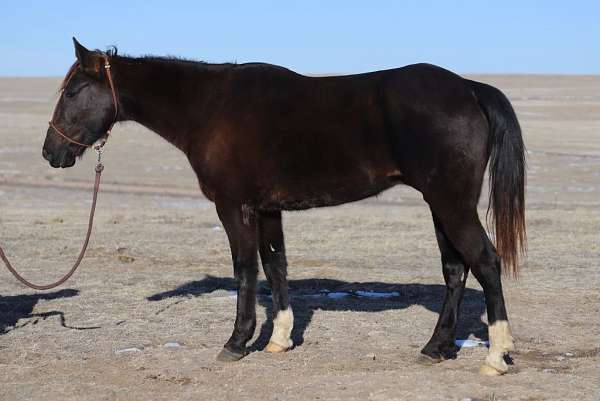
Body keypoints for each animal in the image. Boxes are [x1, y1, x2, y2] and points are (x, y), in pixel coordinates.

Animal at [42, 38, 524, 376]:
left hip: (451, 203)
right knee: (455, 269)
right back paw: (436, 348)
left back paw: (497, 355)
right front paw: (279, 339)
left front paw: (237, 342)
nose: (50, 152)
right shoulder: (268, 209)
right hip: (440, 204)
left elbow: (245, 270)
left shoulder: (234, 207)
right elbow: (276, 266)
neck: (210, 108)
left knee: (485, 261)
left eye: (72, 93)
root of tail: (469, 89)